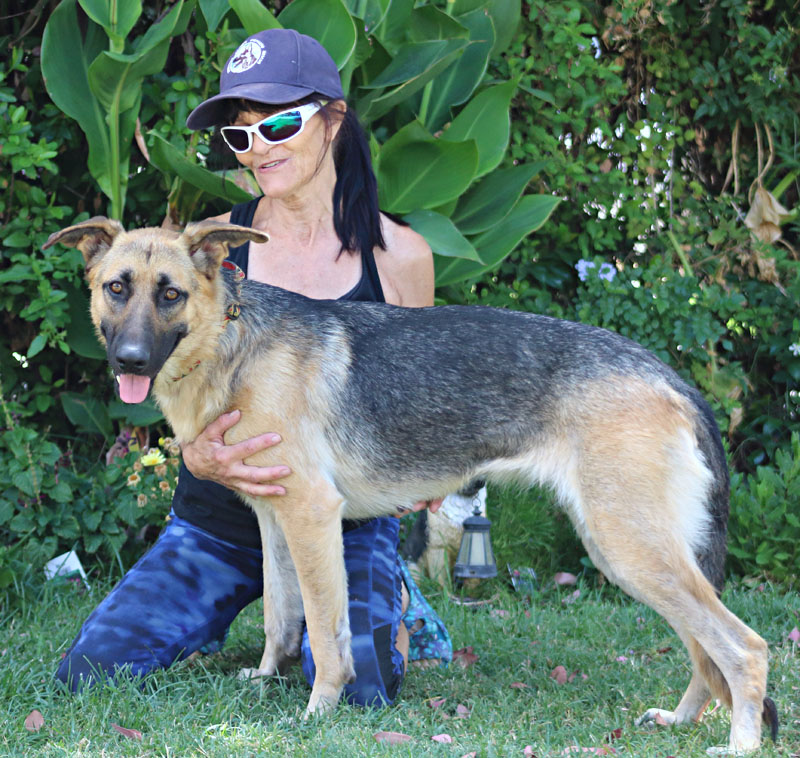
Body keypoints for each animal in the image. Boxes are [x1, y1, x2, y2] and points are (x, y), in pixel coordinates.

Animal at [44, 218, 777, 754]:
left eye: (169, 294)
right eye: (117, 288)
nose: (129, 362)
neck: (232, 345)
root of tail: (668, 374)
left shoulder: (312, 515)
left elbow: (326, 631)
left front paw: (319, 710)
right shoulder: (273, 518)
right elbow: (281, 614)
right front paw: (265, 678)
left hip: (629, 548)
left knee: (743, 646)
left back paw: (738, 743)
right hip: (641, 551)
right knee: (705, 651)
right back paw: (682, 722)